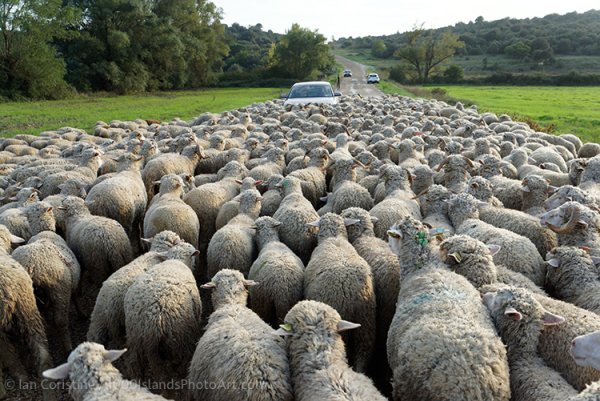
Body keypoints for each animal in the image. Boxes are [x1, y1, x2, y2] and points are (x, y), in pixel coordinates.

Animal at [10, 202, 80, 358]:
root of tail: (31, 266)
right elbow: (76, 298)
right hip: (60, 291)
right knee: (60, 322)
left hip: (28, 301)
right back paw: (68, 348)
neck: (44, 231)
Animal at [124, 248, 202, 390]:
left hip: (135, 338)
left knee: (134, 364)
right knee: (170, 370)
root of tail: (153, 321)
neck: (177, 260)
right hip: (178, 340)